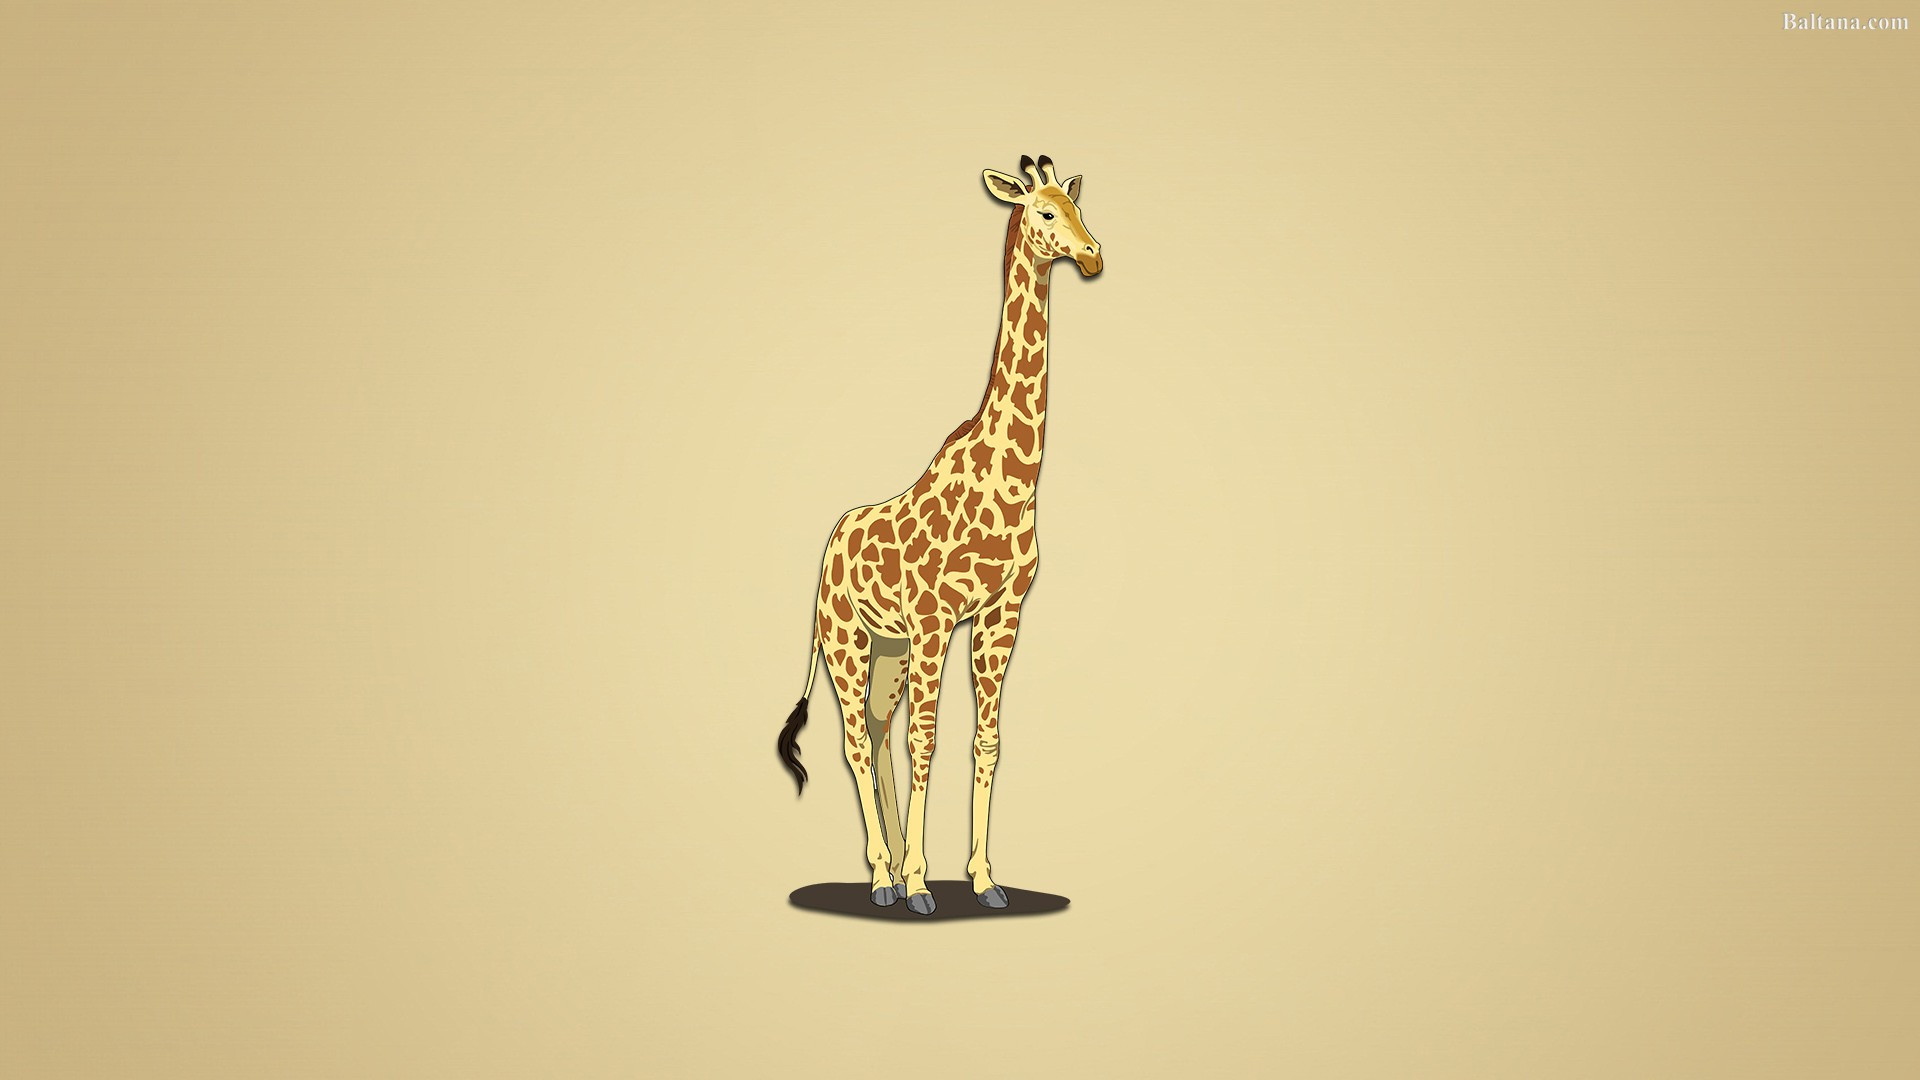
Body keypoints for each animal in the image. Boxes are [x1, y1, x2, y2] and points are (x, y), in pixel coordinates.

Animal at [775, 155, 1102, 915]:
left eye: (1078, 209)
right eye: (1045, 213)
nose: (1094, 257)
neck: (1014, 477)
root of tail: (828, 546)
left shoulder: (1000, 613)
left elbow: (986, 741)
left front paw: (983, 880)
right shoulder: (934, 617)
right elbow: (927, 742)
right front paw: (925, 883)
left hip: (889, 647)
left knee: (876, 729)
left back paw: (892, 870)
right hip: (846, 639)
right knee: (857, 741)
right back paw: (885, 878)